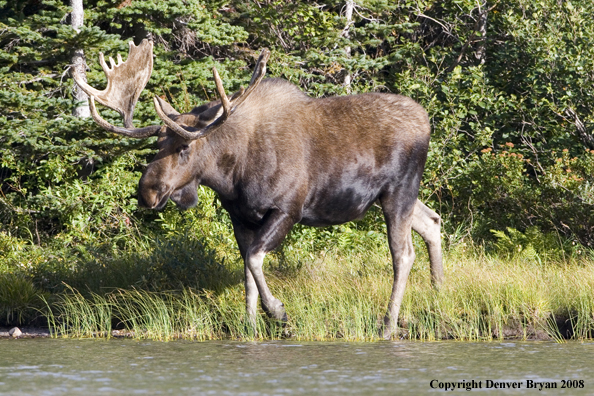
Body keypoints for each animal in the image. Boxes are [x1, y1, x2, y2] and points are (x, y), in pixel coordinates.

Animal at [71, 39, 440, 338]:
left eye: (184, 147)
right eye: (157, 144)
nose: (147, 191)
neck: (231, 174)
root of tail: (427, 121)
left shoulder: (287, 209)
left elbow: (254, 259)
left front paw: (278, 312)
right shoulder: (241, 217)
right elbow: (247, 270)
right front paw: (250, 325)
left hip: (398, 191)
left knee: (403, 254)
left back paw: (389, 323)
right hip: (388, 198)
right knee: (432, 221)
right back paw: (437, 293)